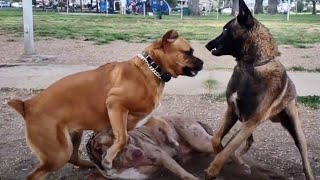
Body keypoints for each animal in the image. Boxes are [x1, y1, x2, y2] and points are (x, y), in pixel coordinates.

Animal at [7, 29, 204, 180]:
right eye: (188, 52)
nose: (202, 62)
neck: (151, 69)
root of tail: (26, 106)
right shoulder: (115, 105)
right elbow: (122, 137)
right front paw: (108, 159)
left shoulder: (144, 116)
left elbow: (162, 123)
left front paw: (171, 139)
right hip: (57, 154)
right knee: (35, 175)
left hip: (73, 138)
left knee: (74, 158)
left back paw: (89, 164)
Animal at [204, 0, 314, 179]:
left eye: (226, 30)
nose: (207, 45)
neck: (250, 66)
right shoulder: (232, 111)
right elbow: (217, 140)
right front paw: (222, 156)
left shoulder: (251, 121)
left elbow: (229, 147)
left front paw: (214, 169)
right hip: (245, 121)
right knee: (248, 141)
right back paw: (240, 162)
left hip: (296, 131)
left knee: (305, 160)